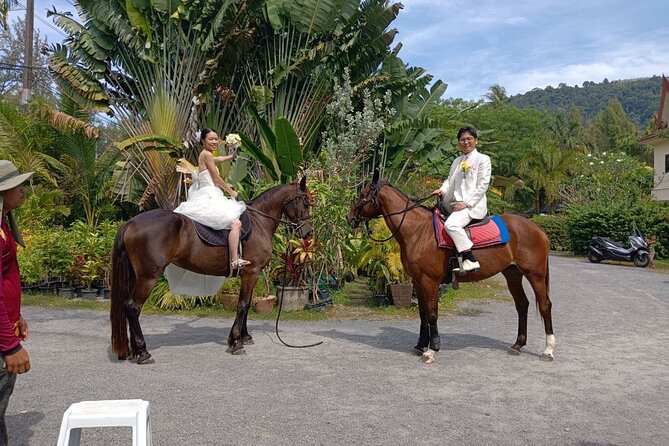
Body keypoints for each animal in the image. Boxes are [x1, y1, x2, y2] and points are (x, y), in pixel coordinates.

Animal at [110, 176, 314, 364]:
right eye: (305, 202)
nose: (308, 233)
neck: (259, 222)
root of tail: (131, 222)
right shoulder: (251, 272)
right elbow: (242, 305)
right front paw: (236, 342)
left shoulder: (251, 275)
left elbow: (247, 304)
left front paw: (245, 337)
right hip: (148, 277)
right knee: (133, 307)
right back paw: (143, 352)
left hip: (136, 276)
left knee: (127, 306)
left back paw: (134, 351)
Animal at [344, 172, 552, 364]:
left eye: (363, 195)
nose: (349, 217)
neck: (419, 231)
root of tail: (537, 229)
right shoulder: (417, 281)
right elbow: (423, 314)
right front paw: (420, 345)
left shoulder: (430, 281)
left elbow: (432, 314)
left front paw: (432, 349)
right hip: (512, 273)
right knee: (522, 304)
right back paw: (518, 344)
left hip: (535, 274)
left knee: (544, 305)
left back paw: (548, 350)